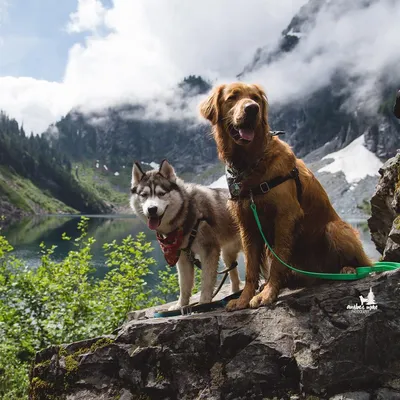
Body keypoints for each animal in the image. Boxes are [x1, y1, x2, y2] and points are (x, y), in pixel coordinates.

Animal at [199, 82, 372, 312]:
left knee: (365, 264)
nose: (252, 109)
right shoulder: (247, 224)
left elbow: (278, 261)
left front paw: (267, 294)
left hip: (336, 228)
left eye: (255, 98)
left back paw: (347, 270)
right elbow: (251, 267)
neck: (251, 163)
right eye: (232, 97)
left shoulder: (285, 215)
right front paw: (245, 298)